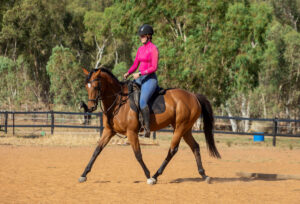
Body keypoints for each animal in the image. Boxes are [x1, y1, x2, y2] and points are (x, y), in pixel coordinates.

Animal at [78, 67, 221, 184]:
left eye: (96, 86)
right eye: (86, 86)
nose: (90, 107)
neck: (118, 101)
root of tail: (193, 96)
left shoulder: (131, 132)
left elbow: (138, 154)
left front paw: (148, 176)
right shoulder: (109, 131)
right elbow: (96, 151)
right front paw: (84, 174)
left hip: (180, 128)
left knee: (172, 150)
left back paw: (155, 175)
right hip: (185, 129)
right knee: (195, 147)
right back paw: (204, 175)